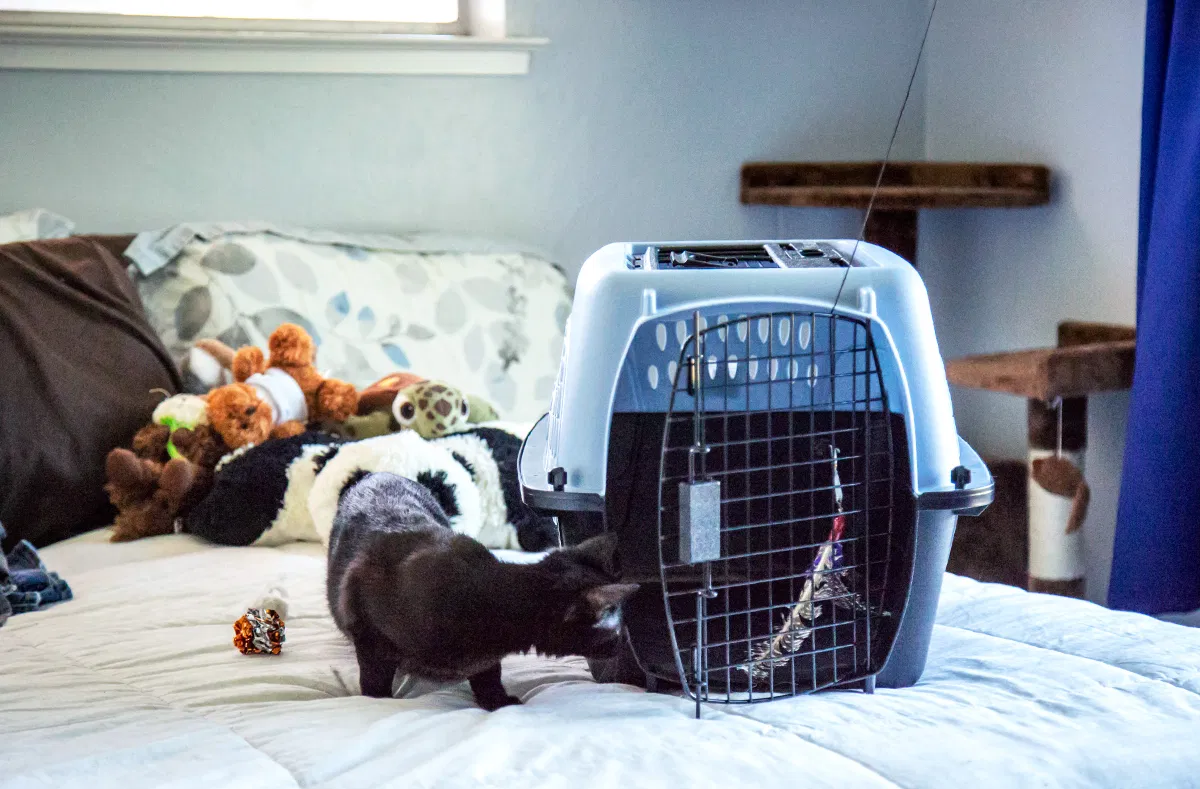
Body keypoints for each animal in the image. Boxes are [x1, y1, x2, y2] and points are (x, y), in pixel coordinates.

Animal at [327, 471, 637, 711]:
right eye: (618, 630)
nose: (624, 647)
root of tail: (379, 472)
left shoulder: (486, 658)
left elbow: (488, 675)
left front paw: (496, 701)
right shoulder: (367, 633)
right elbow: (374, 680)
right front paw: (376, 700)